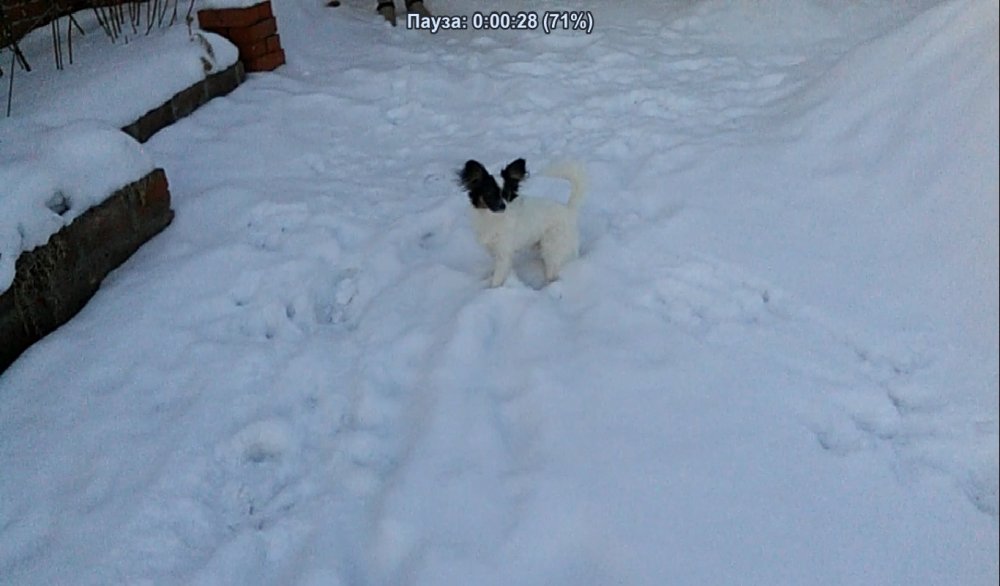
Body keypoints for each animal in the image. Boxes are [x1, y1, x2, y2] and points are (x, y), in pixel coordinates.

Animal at [458, 157, 588, 286]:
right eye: (489, 194)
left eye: (506, 194)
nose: (503, 206)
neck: (492, 217)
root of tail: (568, 210)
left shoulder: (503, 254)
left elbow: (497, 278)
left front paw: (493, 288)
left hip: (552, 248)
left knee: (553, 270)